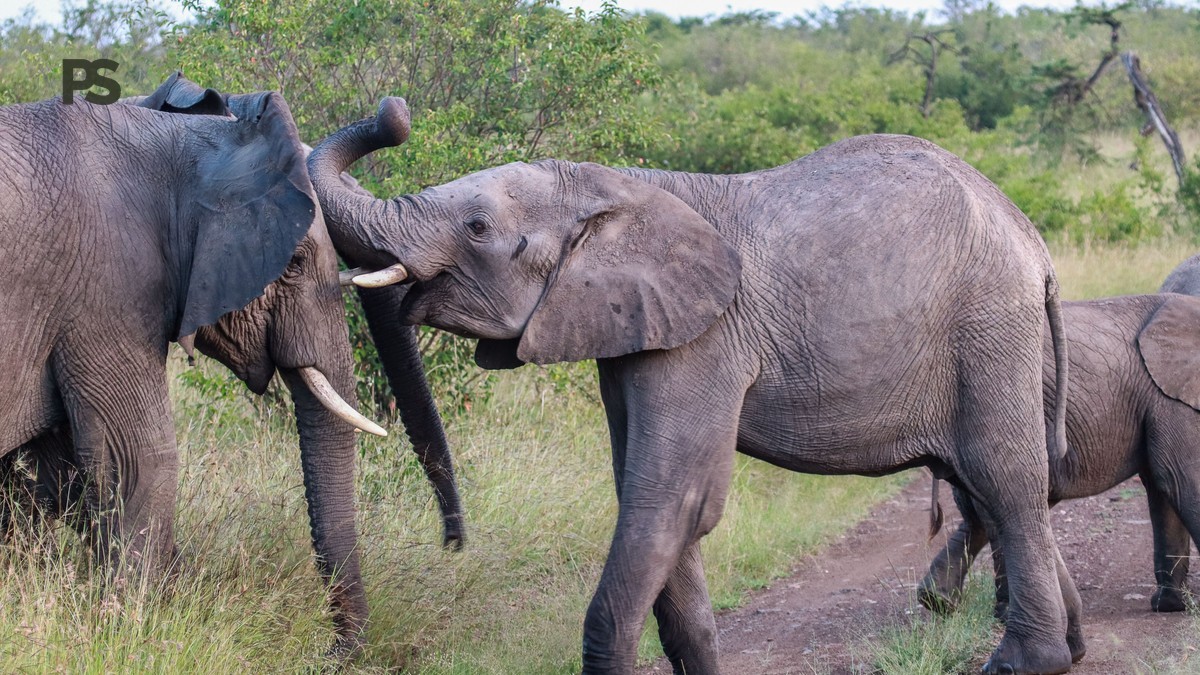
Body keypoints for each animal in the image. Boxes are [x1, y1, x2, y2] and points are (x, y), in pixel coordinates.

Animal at [0, 74, 463, 658]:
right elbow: (140, 458)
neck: (175, 146)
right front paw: (131, 629)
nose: (453, 543)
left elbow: (50, 473)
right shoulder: (108, 287)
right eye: (292, 264)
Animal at [306, 97, 1080, 674]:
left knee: (1002, 476)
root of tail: (1032, 239)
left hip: (988, 324)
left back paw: (1024, 661)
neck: (612, 182)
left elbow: (672, 496)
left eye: (475, 226)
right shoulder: (631, 332)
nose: (452, 542)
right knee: (988, 486)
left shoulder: (703, 339)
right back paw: (1071, 645)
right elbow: (650, 495)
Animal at [920, 254, 1200, 618]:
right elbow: (1179, 477)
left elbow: (1162, 485)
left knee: (983, 513)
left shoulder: (1158, 396)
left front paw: (1169, 606)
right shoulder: (1171, 398)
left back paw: (938, 601)